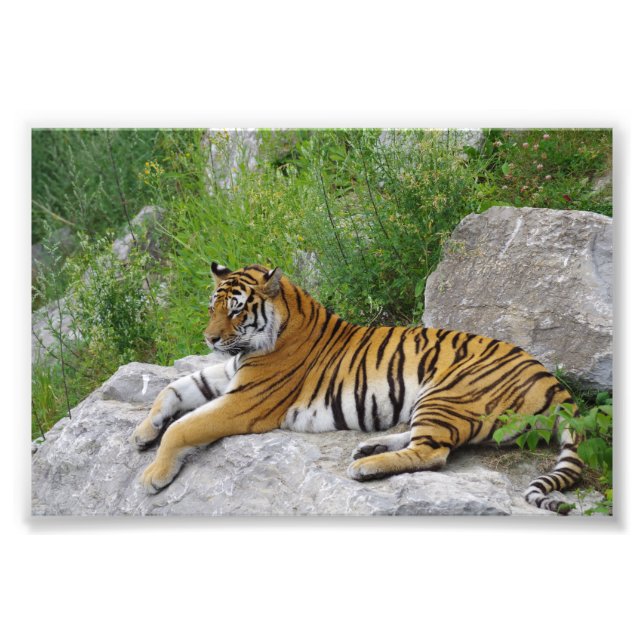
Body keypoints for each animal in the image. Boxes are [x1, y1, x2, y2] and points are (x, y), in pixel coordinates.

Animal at [131, 262, 584, 514]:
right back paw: (370, 448)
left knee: (434, 453)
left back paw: (366, 467)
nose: (209, 339)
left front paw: (153, 476)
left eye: (237, 310)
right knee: (428, 441)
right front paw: (141, 433)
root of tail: (554, 383)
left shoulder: (245, 401)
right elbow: (172, 389)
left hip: (448, 392)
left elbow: (184, 427)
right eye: (213, 307)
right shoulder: (229, 374)